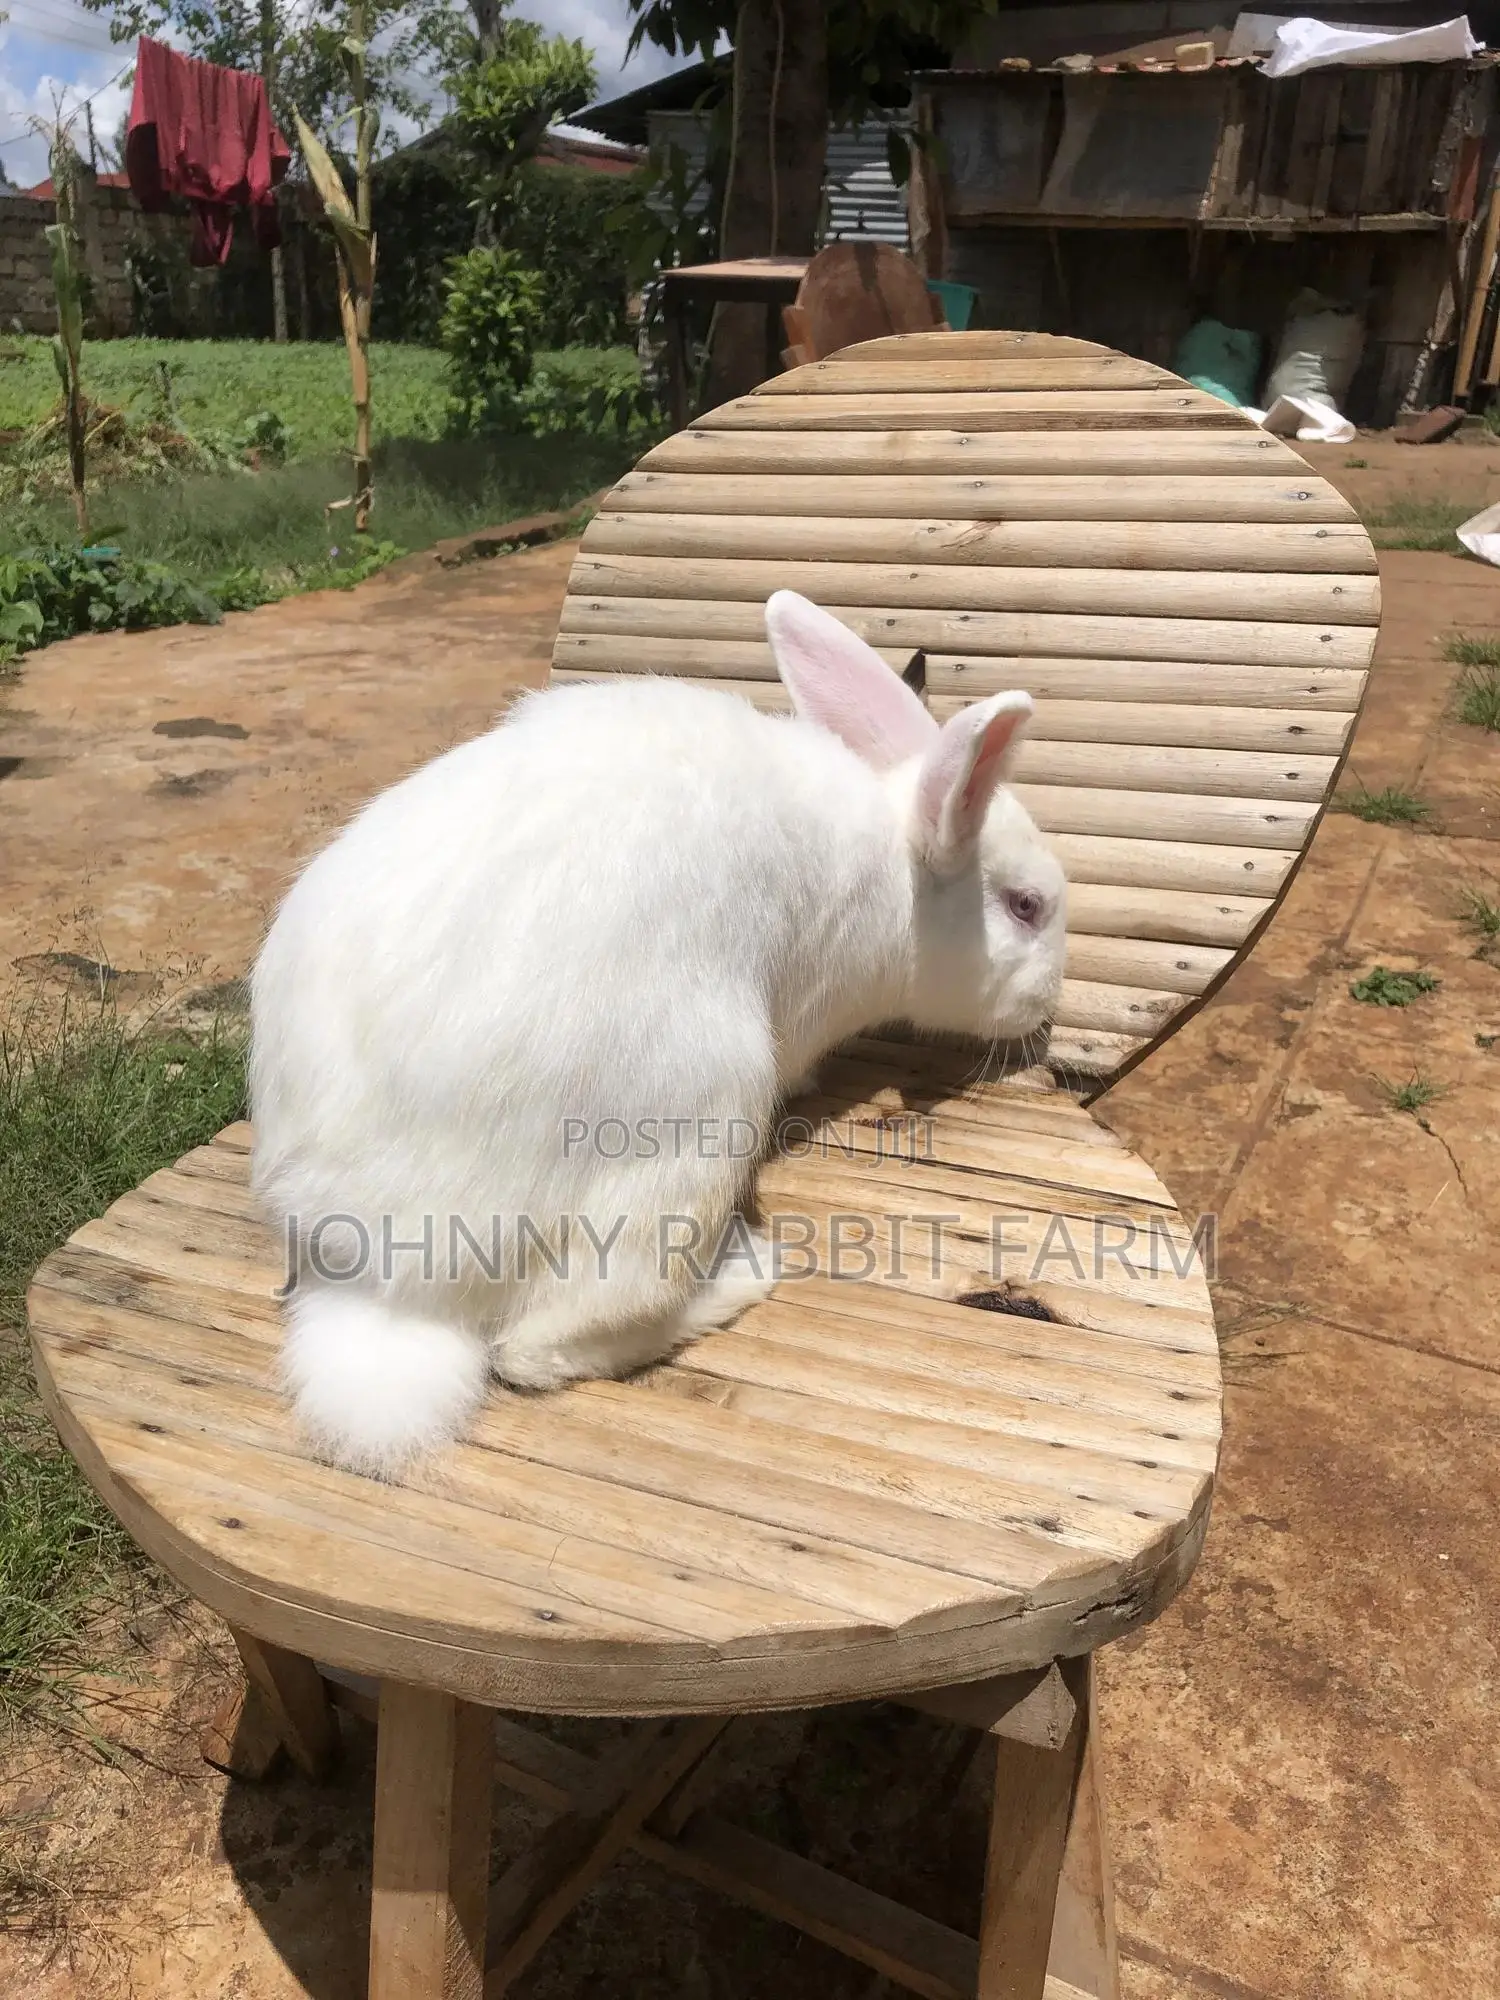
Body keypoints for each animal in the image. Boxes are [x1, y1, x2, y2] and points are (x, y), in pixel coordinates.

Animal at [249, 589, 1067, 1477]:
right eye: (1025, 907)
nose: (1049, 1004)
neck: (896, 877)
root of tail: (388, 1291)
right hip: (697, 1121)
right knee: (539, 1345)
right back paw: (741, 1275)